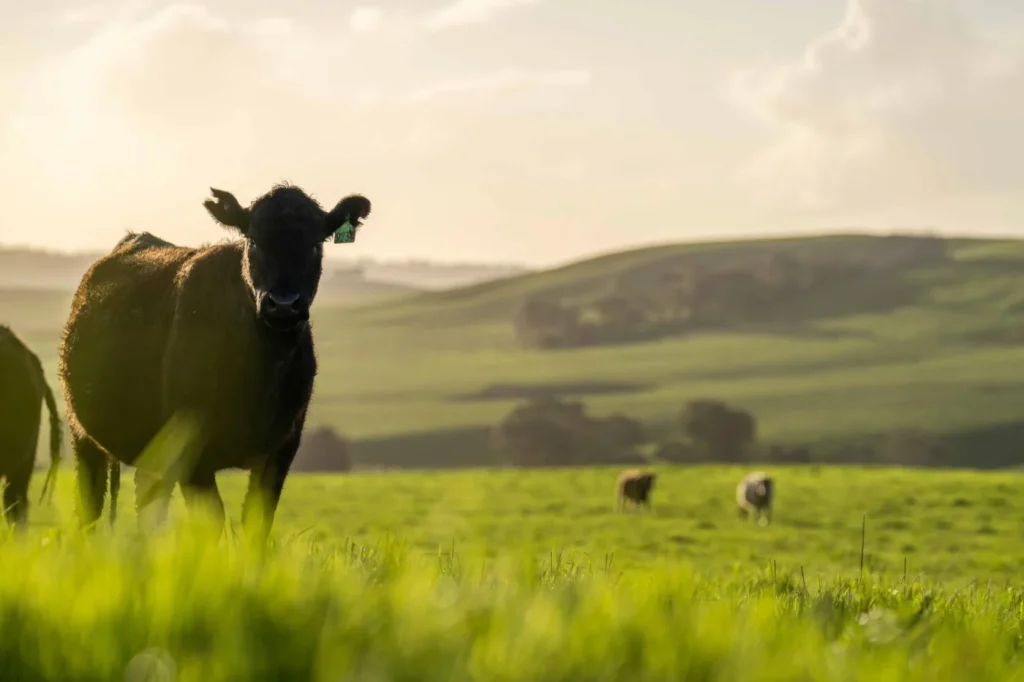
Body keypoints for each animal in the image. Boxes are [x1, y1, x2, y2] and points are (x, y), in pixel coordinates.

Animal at [57, 183, 372, 540]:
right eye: (252, 240)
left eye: (317, 243)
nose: (283, 305)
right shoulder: (192, 451)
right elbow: (211, 525)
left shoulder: (282, 449)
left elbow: (256, 524)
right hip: (82, 434)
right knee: (90, 507)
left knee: (149, 507)